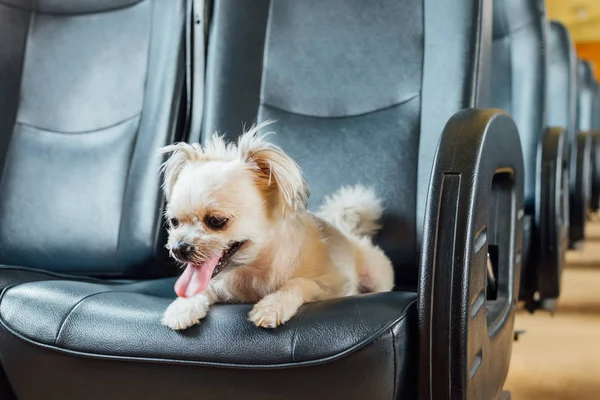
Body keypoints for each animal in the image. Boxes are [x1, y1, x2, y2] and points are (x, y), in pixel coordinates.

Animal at [158, 122, 394, 332]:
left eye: (216, 221)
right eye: (174, 222)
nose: (178, 248)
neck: (252, 271)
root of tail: (348, 233)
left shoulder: (332, 286)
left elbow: (299, 282)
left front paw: (273, 306)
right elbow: (200, 288)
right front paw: (183, 307)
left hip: (376, 275)